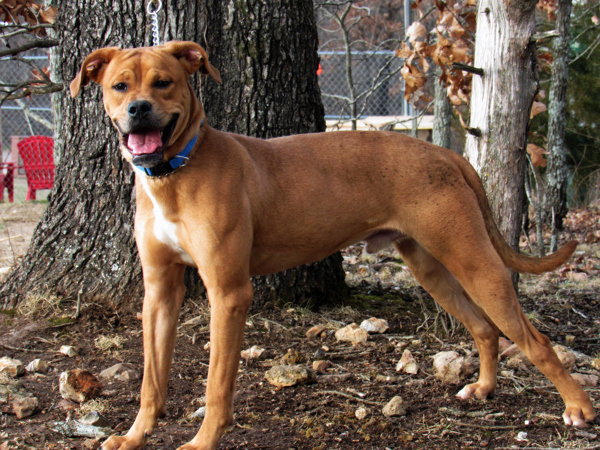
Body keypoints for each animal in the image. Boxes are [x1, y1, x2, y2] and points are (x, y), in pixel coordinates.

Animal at [70, 41, 596, 446]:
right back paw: (483, 389)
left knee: (534, 341)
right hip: (432, 267)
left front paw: (202, 442)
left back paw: (578, 407)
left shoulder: (229, 293)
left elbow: (217, 384)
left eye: (163, 82)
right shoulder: (160, 291)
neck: (176, 172)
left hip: (473, 261)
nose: (138, 110)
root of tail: (446, 153)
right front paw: (134, 436)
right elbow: (151, 380)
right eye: (120, 86)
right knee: (485, 330)